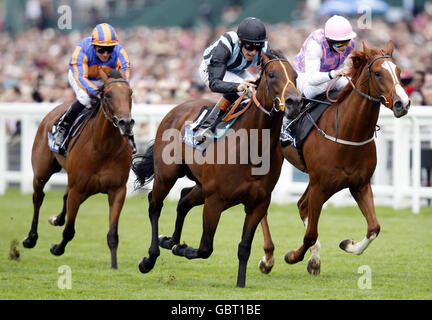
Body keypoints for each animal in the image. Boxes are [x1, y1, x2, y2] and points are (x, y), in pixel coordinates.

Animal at [22, 69, 134, 268]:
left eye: (130, 93)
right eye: (108, 95)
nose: (126, 123)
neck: (103, 147)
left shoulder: (117, 191)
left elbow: (112, 234)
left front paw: (114, 265)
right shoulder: (78, 189)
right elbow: (69, 230)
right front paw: (57, 249)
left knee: (63, 197)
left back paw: (56, 219)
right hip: (42, 172)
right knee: (38, 197)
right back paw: (31, 238)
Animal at [133, 50, 302, 288]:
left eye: (295, 76)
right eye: (271, 75)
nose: (295, 102)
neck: (252, 148)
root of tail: (176, 109)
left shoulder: (258, 203)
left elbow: (244, 248)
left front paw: (240, 284)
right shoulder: (215, 200)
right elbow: (205, 248)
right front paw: (181, 248)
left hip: (201, 185)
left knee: (183, 199)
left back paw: (170, 240)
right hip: (167, 175)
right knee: (155, 205)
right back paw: (150, 258)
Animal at [256, 40, 412, 276]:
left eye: (399, 71)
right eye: (377, 73)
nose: (403, 103)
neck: (348, 133)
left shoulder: (359, 184)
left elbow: (374, 227)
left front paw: (347, 244)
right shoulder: (320, 186)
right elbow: (310, 234)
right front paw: (292, 256)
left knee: (301, 205)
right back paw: (268, 258)